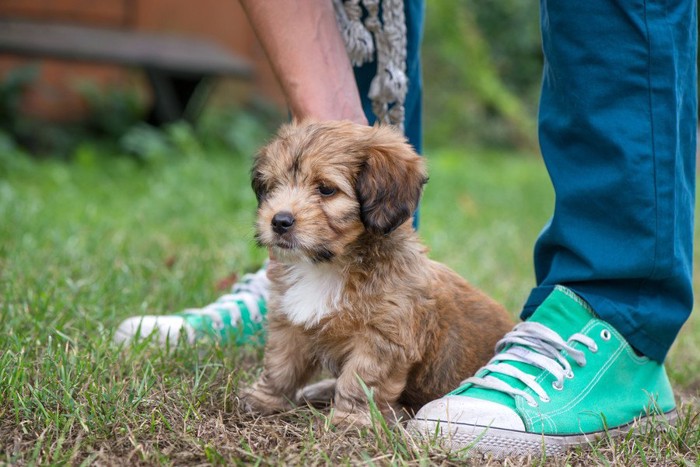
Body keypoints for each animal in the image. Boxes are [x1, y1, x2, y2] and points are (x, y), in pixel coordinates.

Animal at [241, 120, 516, 428]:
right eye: (274, 187)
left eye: (326, 189)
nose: (279, 221)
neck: (329, 265)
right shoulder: (288, 325)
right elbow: (280, 366)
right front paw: (264, 400)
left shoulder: (381, 340)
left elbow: (360, 381)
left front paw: (349, 419)